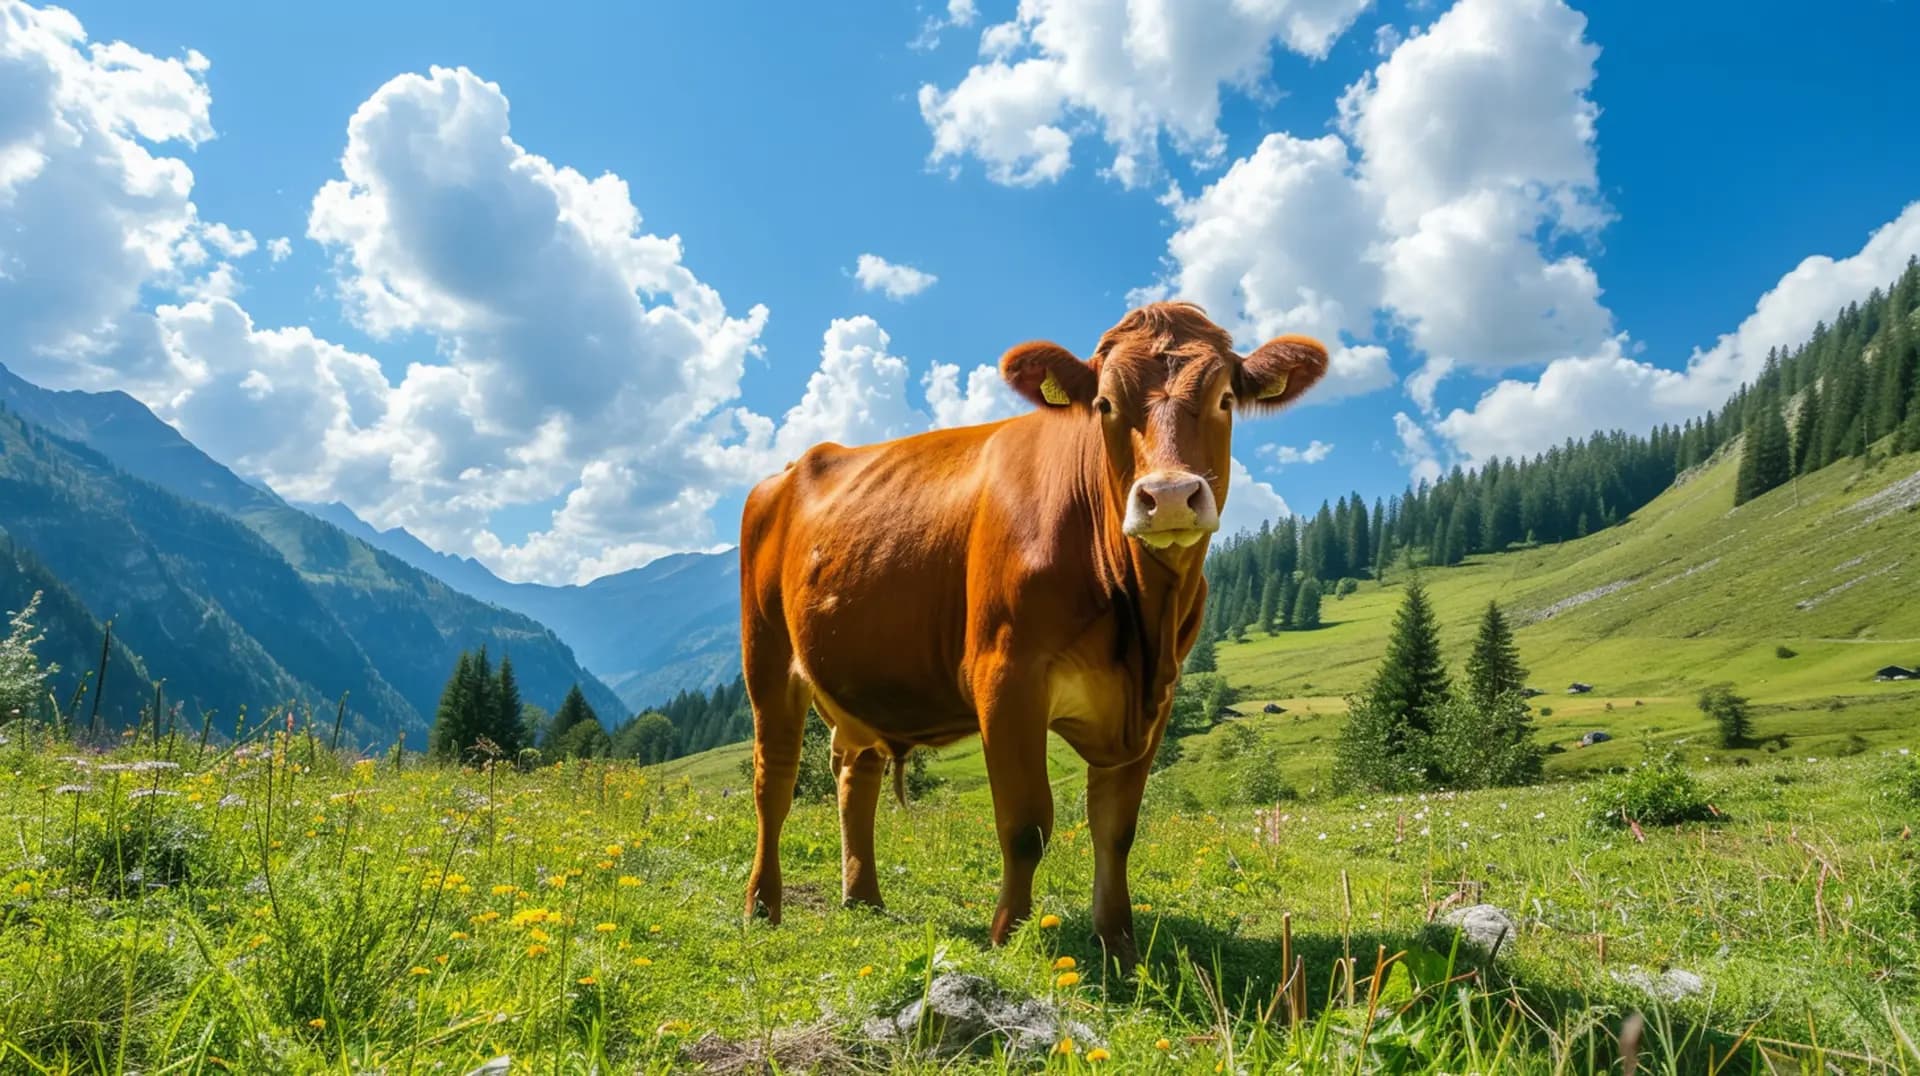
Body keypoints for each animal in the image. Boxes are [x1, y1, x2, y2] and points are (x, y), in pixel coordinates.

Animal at [738, 302, 1328, 966]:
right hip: (767, 658)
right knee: (773, 780)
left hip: (857, 680)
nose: (1170, 495)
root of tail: (792, 469)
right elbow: (1025, 823)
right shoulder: (1006, 676)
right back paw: (762, 905)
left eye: (1225, 398)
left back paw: (863, 898)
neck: (1140, 617)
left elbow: (1116, 829)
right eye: (1104, 404)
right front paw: (1007, 935)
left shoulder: (1157, 700)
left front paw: (1119, 944)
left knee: (853, 772)